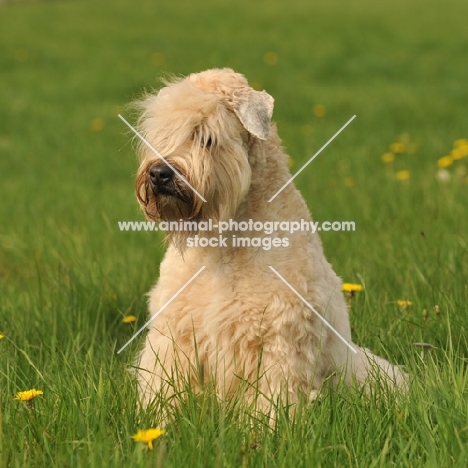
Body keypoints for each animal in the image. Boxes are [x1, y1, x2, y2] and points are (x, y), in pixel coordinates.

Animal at [133, 68, 406, 414]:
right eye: (161, 134)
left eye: (206, 136)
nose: (159, 174)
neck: (223, 246)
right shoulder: (175, 332)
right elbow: (162, 387)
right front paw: (158, 419)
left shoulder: (278, 338)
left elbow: (273, 397)